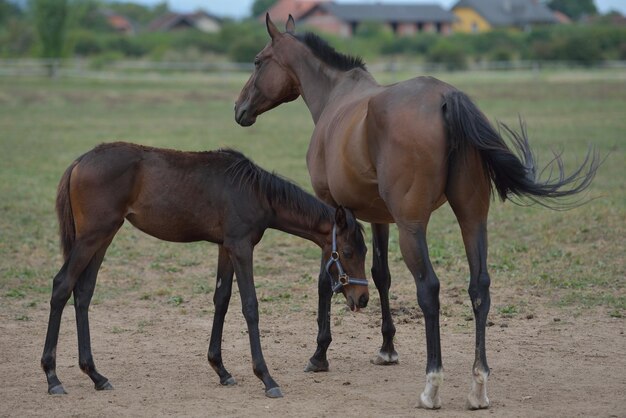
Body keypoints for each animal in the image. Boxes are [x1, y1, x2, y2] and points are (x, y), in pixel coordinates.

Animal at [41, 143, 368, 398]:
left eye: (364, 252)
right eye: (347, 252)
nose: (362, 298)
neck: (255, 191)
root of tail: (81, 161)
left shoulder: (226, 247)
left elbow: (221, 300)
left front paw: (221, 369)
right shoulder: (241, 247)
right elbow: (250, 306)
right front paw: (266, 378)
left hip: (104, 236)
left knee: (83, 292)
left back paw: (95, 375)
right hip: (92, 236)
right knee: (62, 285)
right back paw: (52, 377)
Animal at [235, 15, 600, 408]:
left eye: (257, 61)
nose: (239, 108)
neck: (337, 98)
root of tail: (445, 97)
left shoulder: (333, 211)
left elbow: (325, 279)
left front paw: (319, 355)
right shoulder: (377, 217)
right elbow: (380, 275)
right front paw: (387, 348)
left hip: (413, 229)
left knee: (429, 289)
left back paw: (432, 385)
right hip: (472, 220)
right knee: (479, 287)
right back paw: (478, 386)